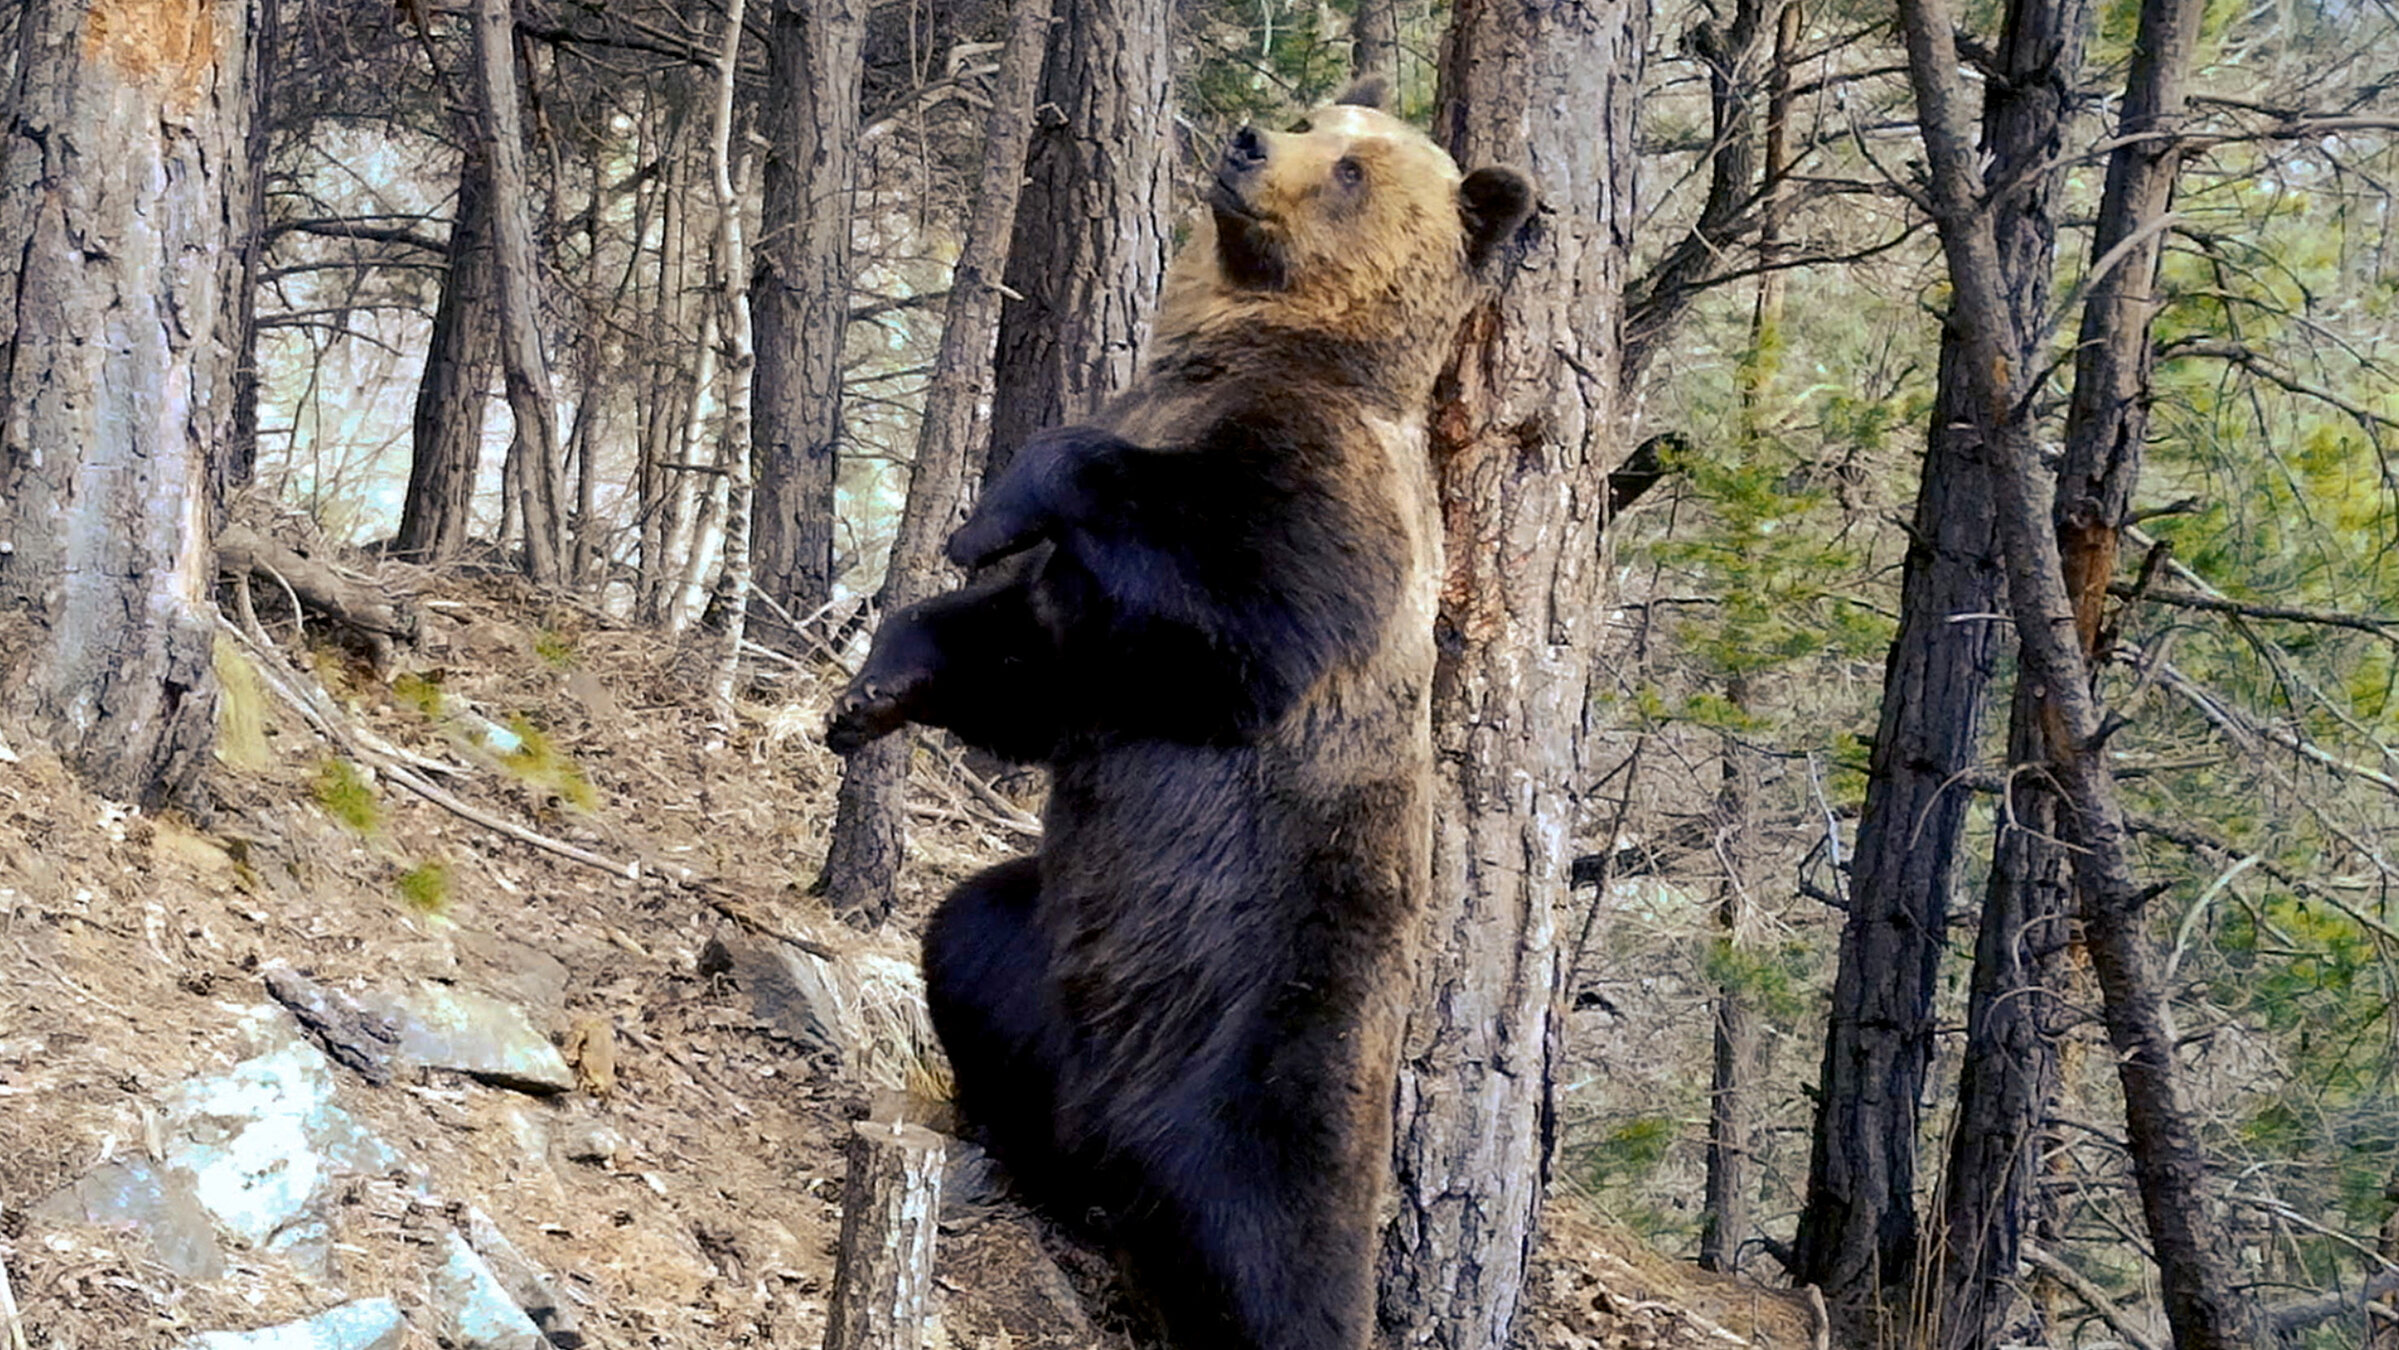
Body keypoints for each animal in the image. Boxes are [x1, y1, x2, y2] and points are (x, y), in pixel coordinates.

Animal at [826, 82, 1531, 1350]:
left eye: (1351, 168)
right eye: (1317, 117)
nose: (1247, 142)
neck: (1237, 351)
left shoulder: (1323, 507)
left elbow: (1238, 613)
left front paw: (985, 511)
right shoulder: (1096, 615)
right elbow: (1031, 660)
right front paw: (871, 692)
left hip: (1274, 1027)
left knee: (1269, 1227)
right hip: (1047, 954)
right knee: (963, 939)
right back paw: (1020, 1149)